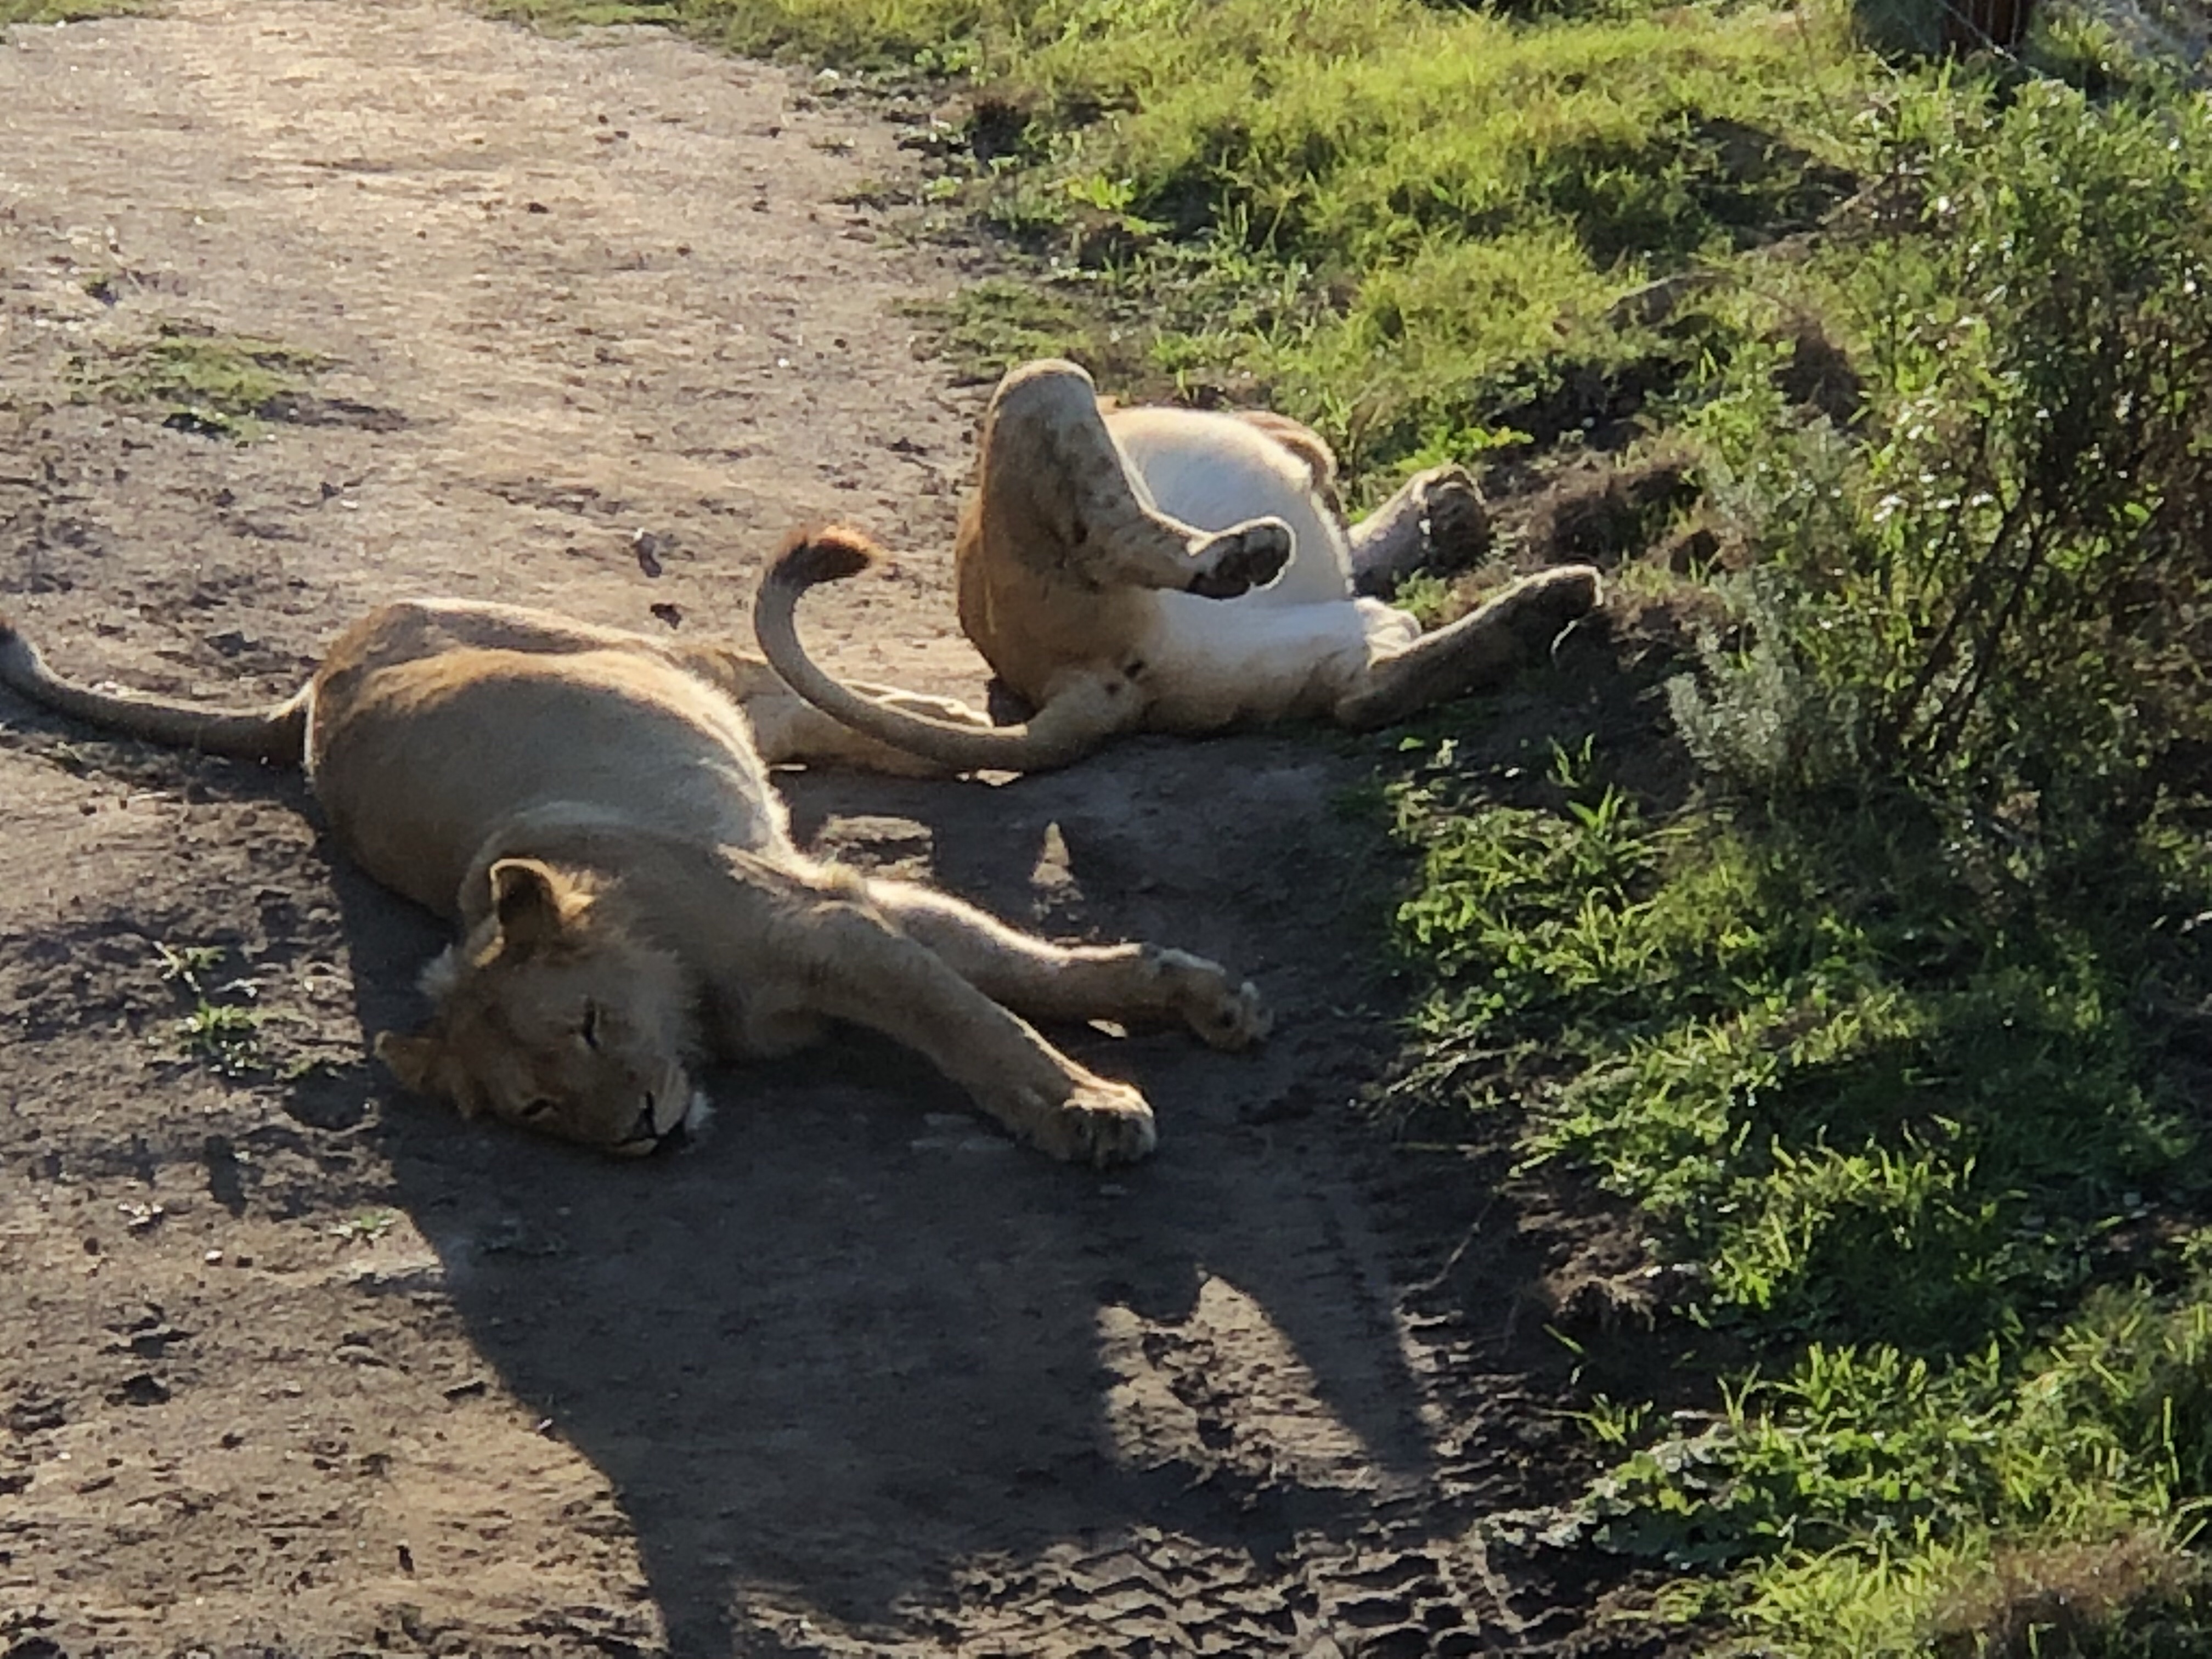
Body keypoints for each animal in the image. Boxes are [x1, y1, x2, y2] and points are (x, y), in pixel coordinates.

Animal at [0, 589, 1269, 1164]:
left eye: (594, 1025)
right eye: (542, 1110)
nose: (645, 1134)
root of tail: (306, 687)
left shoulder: (829, 924)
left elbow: (986, 1019)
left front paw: (1092, 1099)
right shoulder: (853, 906)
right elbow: (1022, 976)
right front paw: (1187, 1003)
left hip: (642, 654)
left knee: (801, 693)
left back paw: (962, 714)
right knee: (812, 718)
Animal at [750, 358, 1605, 772]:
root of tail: (1071, 686)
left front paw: (1448, 509)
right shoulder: (1292, 441)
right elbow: (1325, 474)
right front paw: (1442, 505)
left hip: (1292, 651)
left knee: (1365, 693)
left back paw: (1550, 600)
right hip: (1044, 383)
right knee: (1113, 530)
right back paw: (1240, 553)